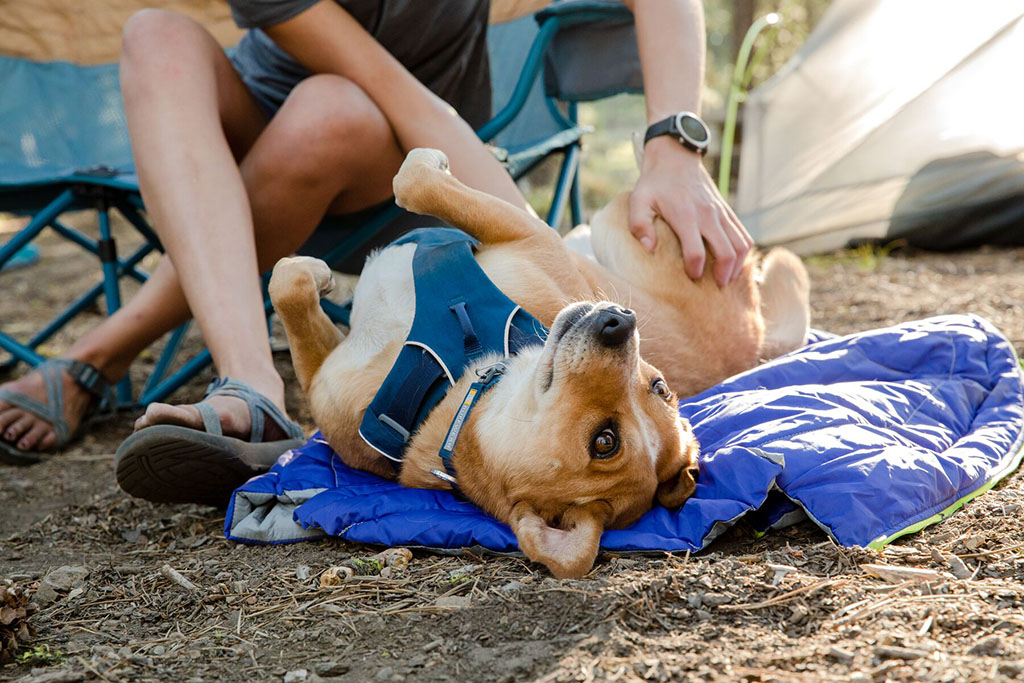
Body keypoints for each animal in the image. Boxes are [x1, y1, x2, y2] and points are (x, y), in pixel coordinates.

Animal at [268, 148, 811, 577]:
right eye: (661, 387)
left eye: (604, 441)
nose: (619, 322)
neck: (445, 387)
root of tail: (756, 332)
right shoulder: (322, 380)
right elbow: (286, 286)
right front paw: (313, 275)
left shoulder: (527, 233)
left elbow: (415, 181)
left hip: (620, 222)